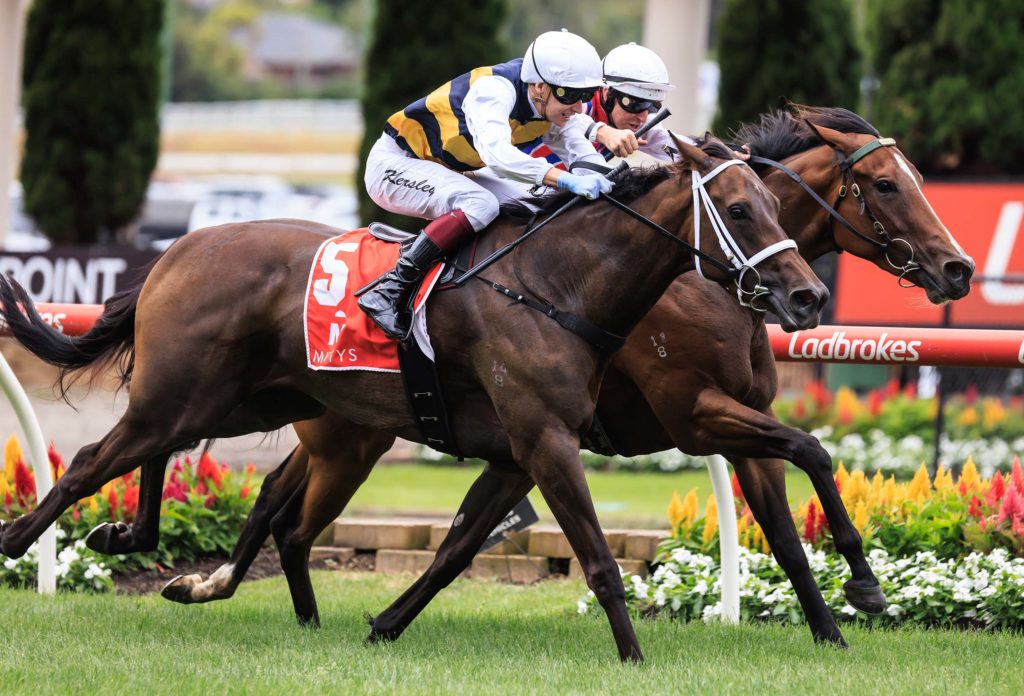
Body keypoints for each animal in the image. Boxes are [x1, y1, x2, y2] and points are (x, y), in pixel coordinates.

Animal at [0, 135, 827, 663]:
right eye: (740, 210)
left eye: (775, 203)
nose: (809, 296)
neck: (557, 285)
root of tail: (178, 247)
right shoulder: (551, 439)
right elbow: (595, 557)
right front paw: (634, 659)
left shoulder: (526, 448)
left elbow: (458, 546)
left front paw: (384, 624)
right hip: (198, 394)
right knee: (90, 460)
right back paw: (18, 541)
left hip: (243, 400)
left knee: (170, 462)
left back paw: (134, 540)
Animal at [155, 105, 974, 648]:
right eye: (886, 184)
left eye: (916, 178)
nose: (958, 269)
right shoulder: (694, 415)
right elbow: (813, 449)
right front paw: (865, 584)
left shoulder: (732, 424)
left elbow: (785, 528)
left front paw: (835, 627)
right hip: (347, 439)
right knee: (285, 515)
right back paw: (223, 586)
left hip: (349, 430)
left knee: (279, 508)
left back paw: (237, 594)